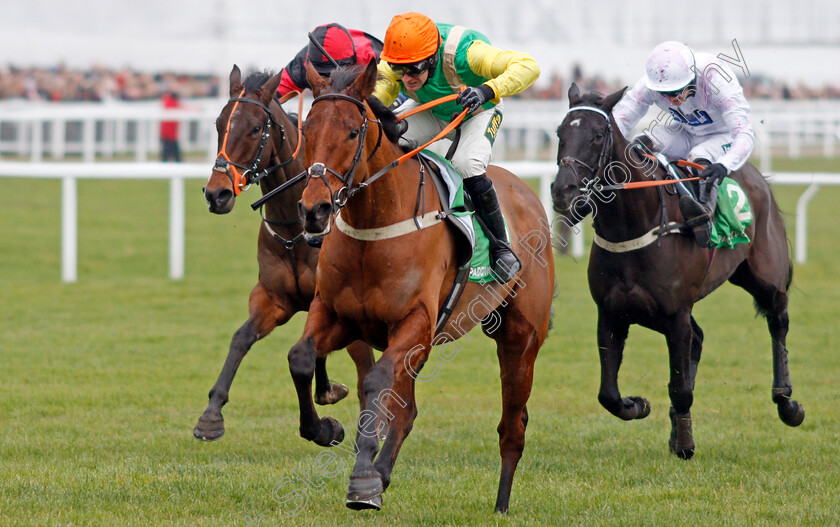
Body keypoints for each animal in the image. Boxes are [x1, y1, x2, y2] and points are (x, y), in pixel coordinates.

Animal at [195, 67, 372, 446]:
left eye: (254, 128)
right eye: (218, 124)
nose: (217, 194)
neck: (295, 230)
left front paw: (327, 418)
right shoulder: (274, 298)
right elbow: (241, 338)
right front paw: (211, 416)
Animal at [288, 59, 556, 512]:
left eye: (353, 131)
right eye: (307, 129)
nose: (314, 209)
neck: (375, 226)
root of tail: (525, 192)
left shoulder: (414, 322)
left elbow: (376, 381)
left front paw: (362, 480)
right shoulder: (337, 314)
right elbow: (301, 358)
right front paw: (326, 429)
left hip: (520, 337)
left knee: (512, 425)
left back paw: (501, 504)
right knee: (409, 410)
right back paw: (383, 472)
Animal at [548, 84, 804, 460]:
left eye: (597, 135)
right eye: (560, 134)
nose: (562, 190)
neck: (635, 226)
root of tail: (757, 177)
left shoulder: (675, 314)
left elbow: (680, 387)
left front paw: (684, 443)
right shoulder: (611, 312)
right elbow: (608, 394)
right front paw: (639, 405)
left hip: (764, 277)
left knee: (778, 320)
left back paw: (786, 401)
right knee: (699, 339)